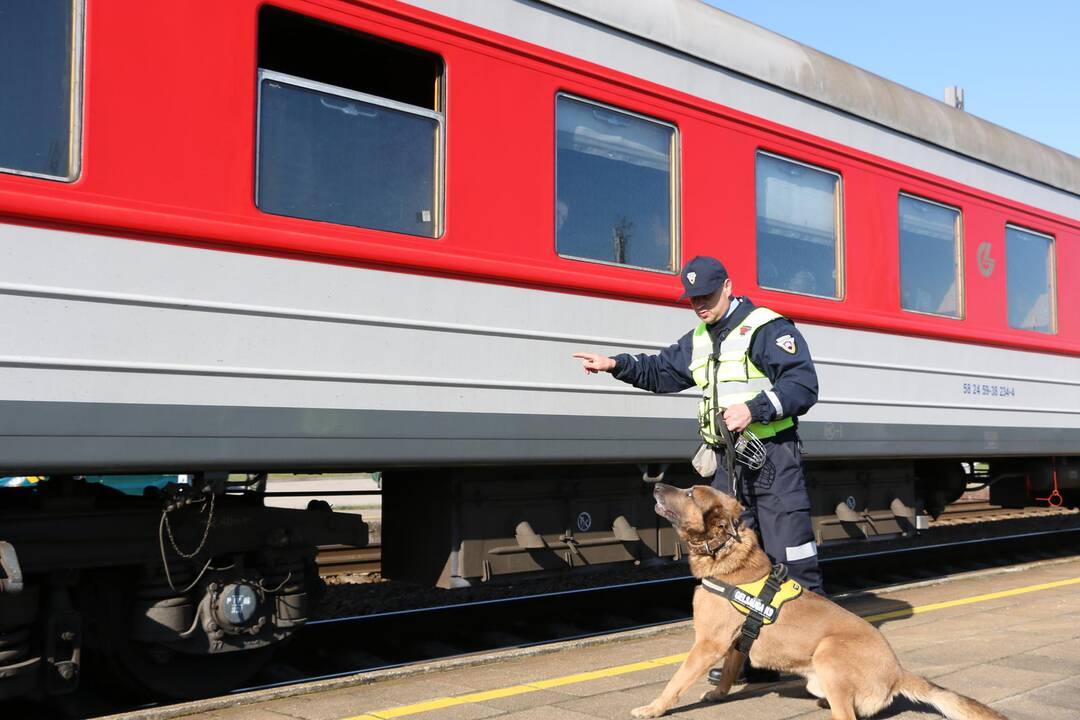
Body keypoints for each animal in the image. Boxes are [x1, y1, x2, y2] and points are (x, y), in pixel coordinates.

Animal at [630, 483, 1006, 720]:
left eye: (690, 492)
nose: (656, 487)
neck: (725, 550)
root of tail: (898, 673)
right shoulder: (736, 643)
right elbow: (731, 669)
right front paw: (719, 692)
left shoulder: (707, 644)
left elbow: (676, 681)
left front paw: (654, 708)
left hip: (828, 652)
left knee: (846, 716)